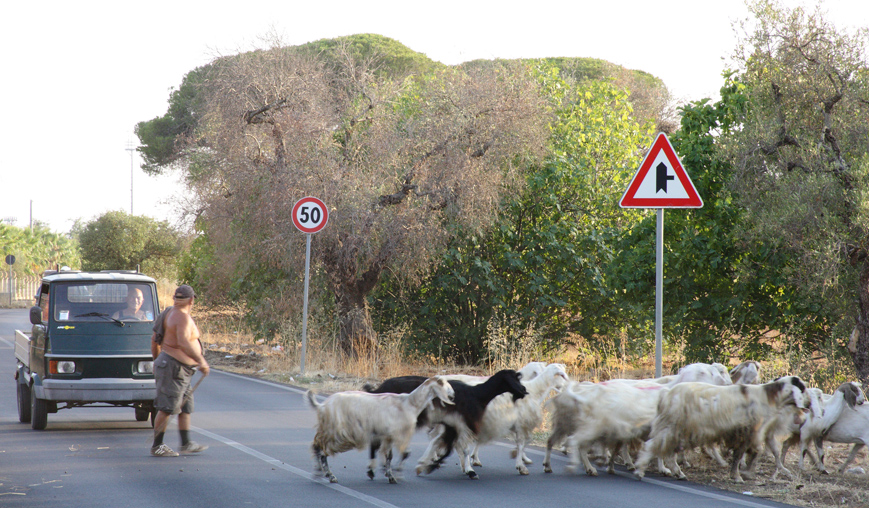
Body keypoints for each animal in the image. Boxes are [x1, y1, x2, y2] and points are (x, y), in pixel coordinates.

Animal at [306, 378, 454, 484]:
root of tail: (322, 405)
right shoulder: (399, 434)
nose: (453, 396)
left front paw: (390, 476)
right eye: (443, 384)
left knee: (317, 447)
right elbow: (405, 453)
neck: (409, 403)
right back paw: (328, 475)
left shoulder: (388, 435)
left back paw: (320, 472)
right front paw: (397, 474)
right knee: (320, 450)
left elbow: (389, 456)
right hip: (335, 432)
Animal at [632, 376, 808, 482]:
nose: (807, 406)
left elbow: (752, 452)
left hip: (678, 430)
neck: (769, 397)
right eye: (803, 388)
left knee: (668, 453)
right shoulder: (748, 432)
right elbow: (744, 454)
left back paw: (678, 473)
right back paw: (640, 470)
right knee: (652, 446)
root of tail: (667, 393)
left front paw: (744, 472)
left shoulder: (750, 433)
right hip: (671, 426)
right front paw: (740, 475)